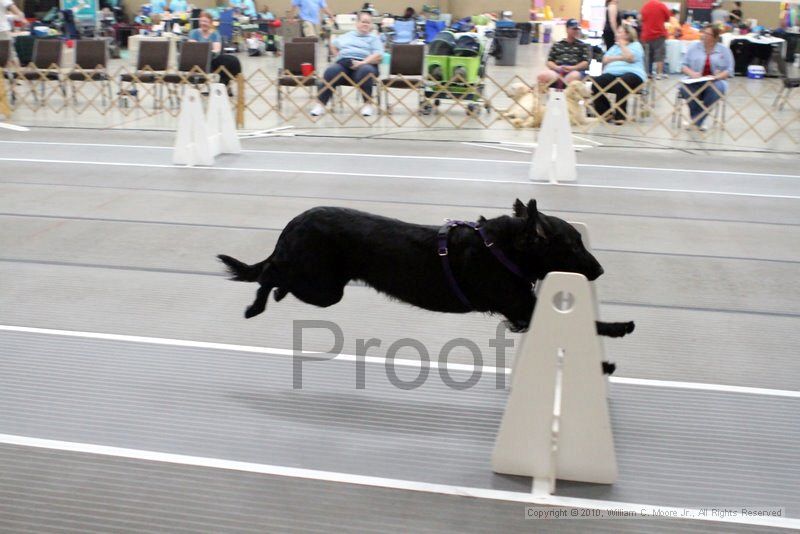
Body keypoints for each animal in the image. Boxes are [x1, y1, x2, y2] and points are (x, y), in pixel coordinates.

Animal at [217, 199, 632, 346]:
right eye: (574, 245)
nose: (599, 269)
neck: (501, 249)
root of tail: (295, 222)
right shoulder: (522, 309)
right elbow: (592, 323)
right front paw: (619, 326)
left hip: (323, 287)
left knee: (275, 276)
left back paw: (270, 298)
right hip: (324, 288)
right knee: (270, 272)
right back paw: (256, 305)